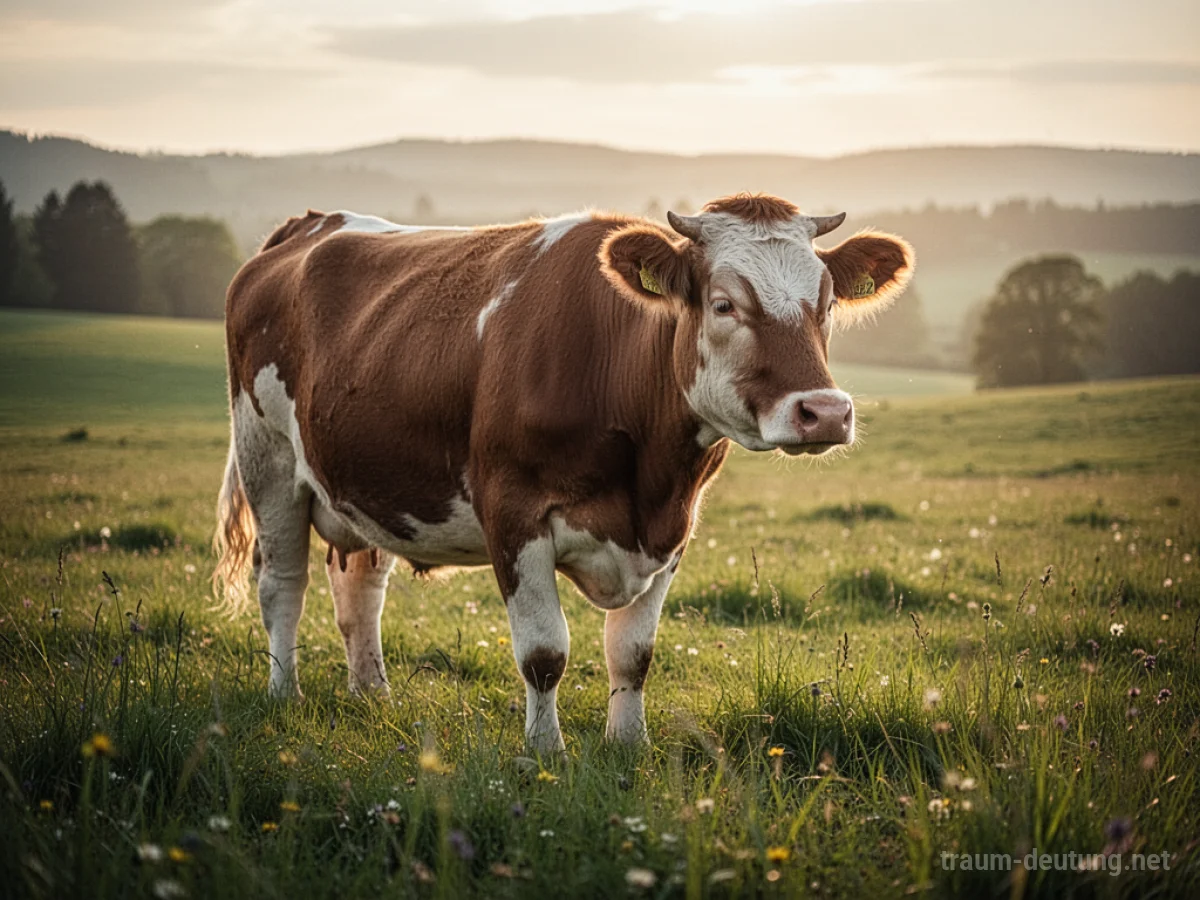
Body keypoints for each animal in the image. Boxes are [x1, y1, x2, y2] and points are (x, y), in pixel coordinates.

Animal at [213, 193, 913, 753]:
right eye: (723, 304)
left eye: (826, 305)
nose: (824, 412)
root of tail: (310, 226)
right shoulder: (513, 513)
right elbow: (544, 653)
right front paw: (546, 753)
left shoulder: (673, 528)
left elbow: (633, 653)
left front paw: (629, 745)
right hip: (267, 457)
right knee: (283, 585)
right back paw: (285, 696)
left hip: (368, 483)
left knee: (359, 587)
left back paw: (373, 695)